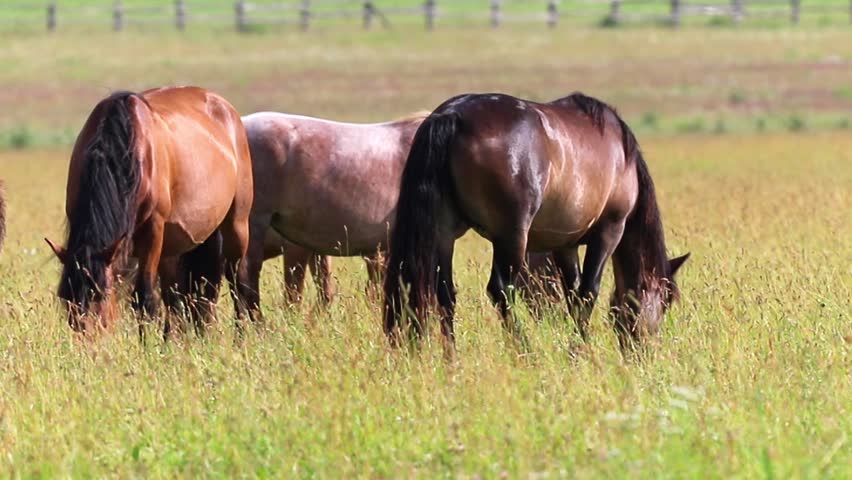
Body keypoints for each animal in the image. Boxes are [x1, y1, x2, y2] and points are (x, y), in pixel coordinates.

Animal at [45, 87, 254, 335]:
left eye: (102, 295)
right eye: (66, 300)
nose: (88, 340)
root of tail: (227, 109)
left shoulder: (153, 230)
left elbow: (144, 298)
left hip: (236, 224)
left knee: (237, 282)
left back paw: (241, 337)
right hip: (175, 243)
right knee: (177, 298)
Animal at [384, 92, 689, 350]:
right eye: (666, 301)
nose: (645, 350)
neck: (623, 157)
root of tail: (452, 115)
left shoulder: (565, 244)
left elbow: (573, 295)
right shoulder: (610, 230)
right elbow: (588, 291)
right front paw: (579, 349)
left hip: (445, 235)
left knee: (445, 295)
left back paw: (452, 360)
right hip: (512, 237)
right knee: (500, 290)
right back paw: (524, 349)